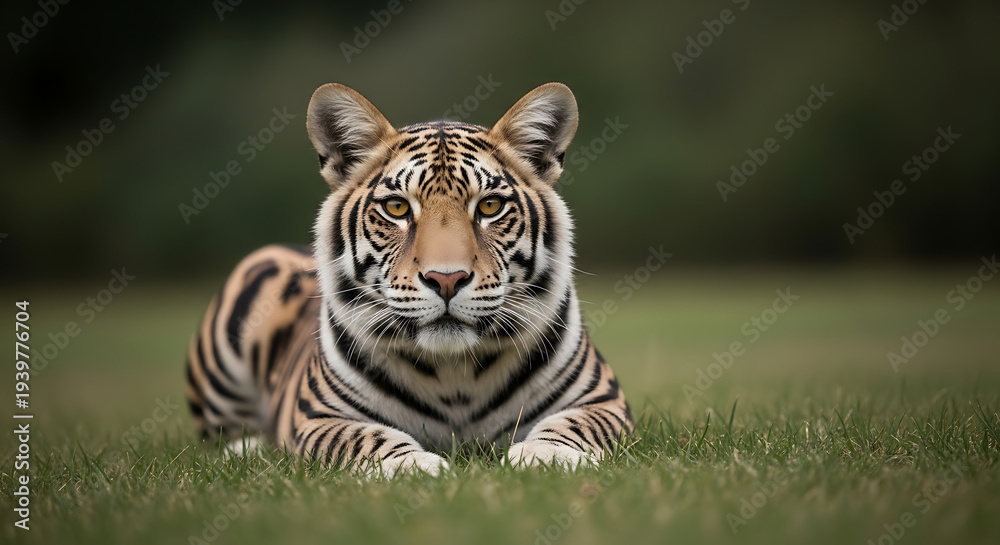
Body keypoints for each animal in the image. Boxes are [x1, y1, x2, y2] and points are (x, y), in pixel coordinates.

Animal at [185, 82, 633, 476]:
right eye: (398, 208)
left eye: (489, 206)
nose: (447, 279)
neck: (455, 375)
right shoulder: (320, 417)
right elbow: (364, 437)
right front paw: (412, 466)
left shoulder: (603, 400)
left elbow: (572, 425)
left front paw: (548, 458)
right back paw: (247, 450)